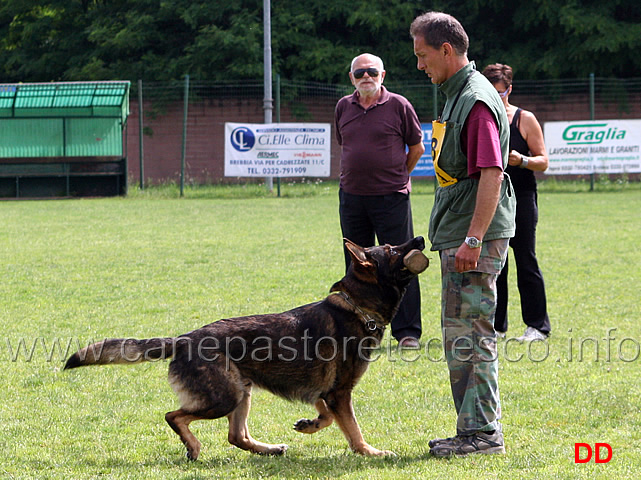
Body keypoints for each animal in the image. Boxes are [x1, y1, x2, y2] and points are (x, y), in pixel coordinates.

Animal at [62, 236, 428, 458]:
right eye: (392, 250)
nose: (421, 239)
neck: (357, 307)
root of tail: (185, 338)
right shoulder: (339, 393)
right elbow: (352, 429)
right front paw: (370, 452)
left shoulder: (322, 392)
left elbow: (324, 414)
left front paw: (309, 424)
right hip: (226, 396)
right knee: (174, 415)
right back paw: (193, 446)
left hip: (243, 391)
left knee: (235, 436)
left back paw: (268, 449)